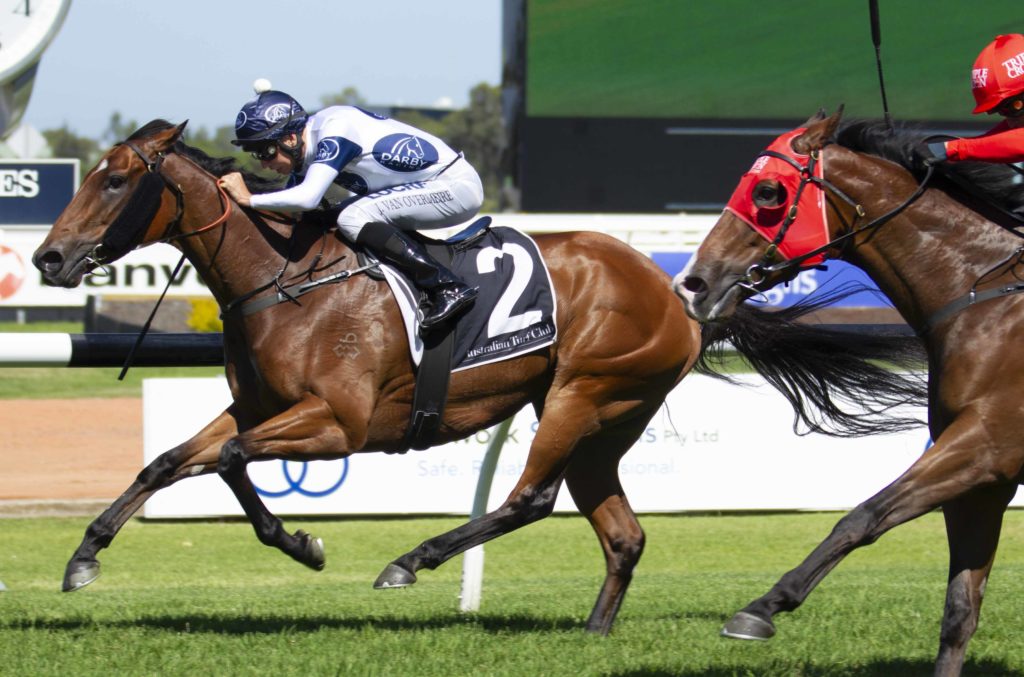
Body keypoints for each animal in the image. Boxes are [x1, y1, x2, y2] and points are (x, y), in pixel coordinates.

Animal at [32, 119, 925, 637]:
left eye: (116, 178)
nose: (48, 257)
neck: (285, 277)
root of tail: (679, 293)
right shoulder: (257, 406)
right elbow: (170, 460)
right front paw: (84, 557)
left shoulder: (337, 423)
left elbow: (226, 462)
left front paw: (303, 542)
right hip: (608, 419)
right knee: (621, 531)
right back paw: (593, 633)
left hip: (580, 393)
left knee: (529, 496)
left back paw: (412, 559)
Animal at [676, 108, 1024, 676]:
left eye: (768, 193)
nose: (693, 283)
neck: (984, 295)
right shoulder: (983, 477)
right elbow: (960, 610)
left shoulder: (988, 443)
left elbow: (863, 515)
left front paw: (762, 608)